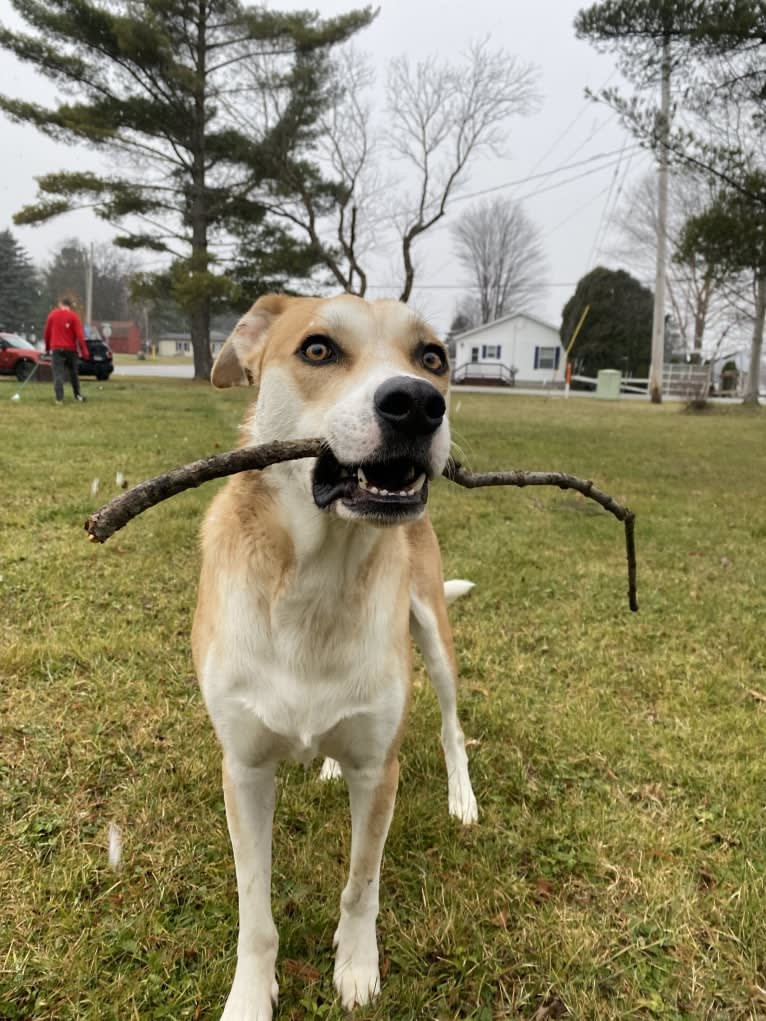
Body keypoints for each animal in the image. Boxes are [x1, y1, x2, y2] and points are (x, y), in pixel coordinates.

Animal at [192, 292, 477, 1016]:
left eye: (432, 357)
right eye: (317, 349)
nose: (417, 403)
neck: (315, 579)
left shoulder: (379, 770)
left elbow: (360, 884)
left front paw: (355, 966)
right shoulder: (243, 770)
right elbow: (255, 910)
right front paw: (249, 994)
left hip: (433, 631)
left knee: (451, 726)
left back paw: (462, 797)